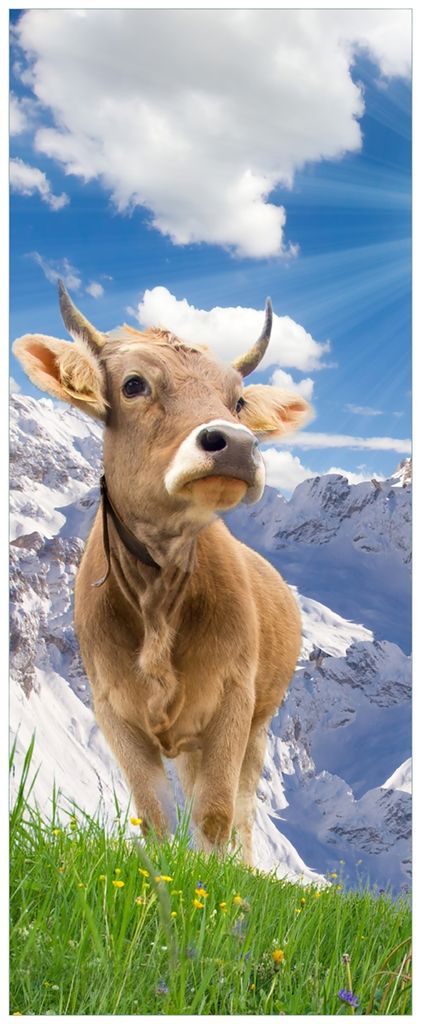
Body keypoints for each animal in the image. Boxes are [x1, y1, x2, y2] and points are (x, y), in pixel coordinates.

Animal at [14, 284, 312, 863]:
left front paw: (216, 885)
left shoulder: (232, 702)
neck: (157, 598)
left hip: (259, 724)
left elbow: (216, 816)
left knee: (242, 810)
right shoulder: (114, 712)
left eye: (237, 400)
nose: (236, 444)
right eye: (134, 384)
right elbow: (153, 818)